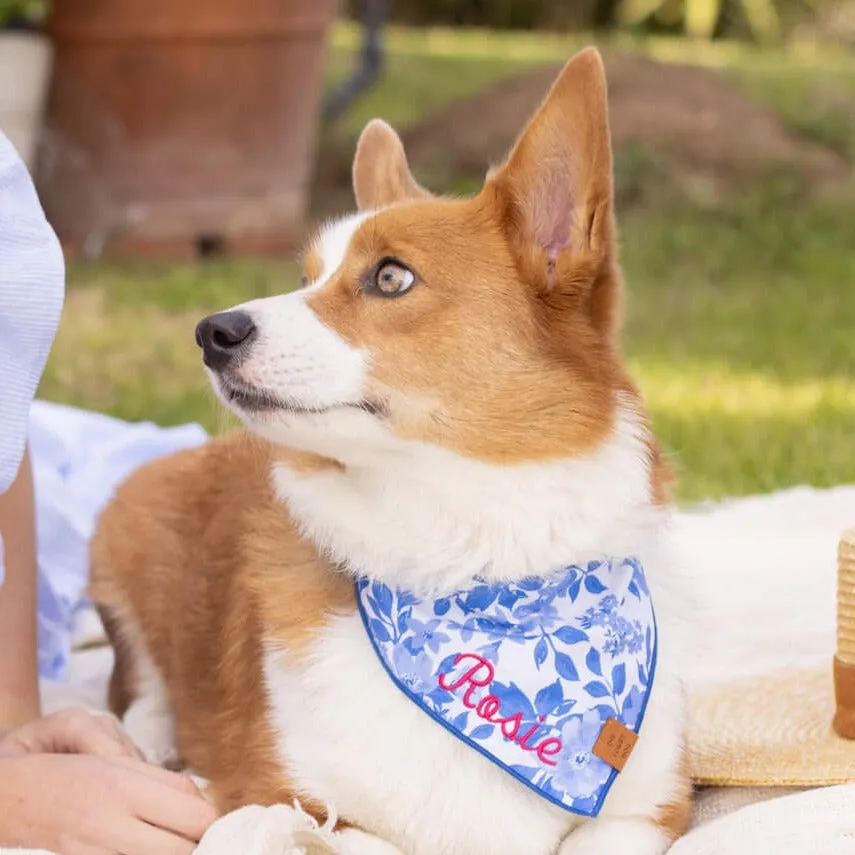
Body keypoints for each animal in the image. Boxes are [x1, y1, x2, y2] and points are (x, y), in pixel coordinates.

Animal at [92, 48, 696, 855]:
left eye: (389, 276)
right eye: (306, 276)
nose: (211, 332)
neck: (466, 563)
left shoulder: (647, 809)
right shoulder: (276, 791)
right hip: (125, 517)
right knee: (144, 680)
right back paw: (151, 736)